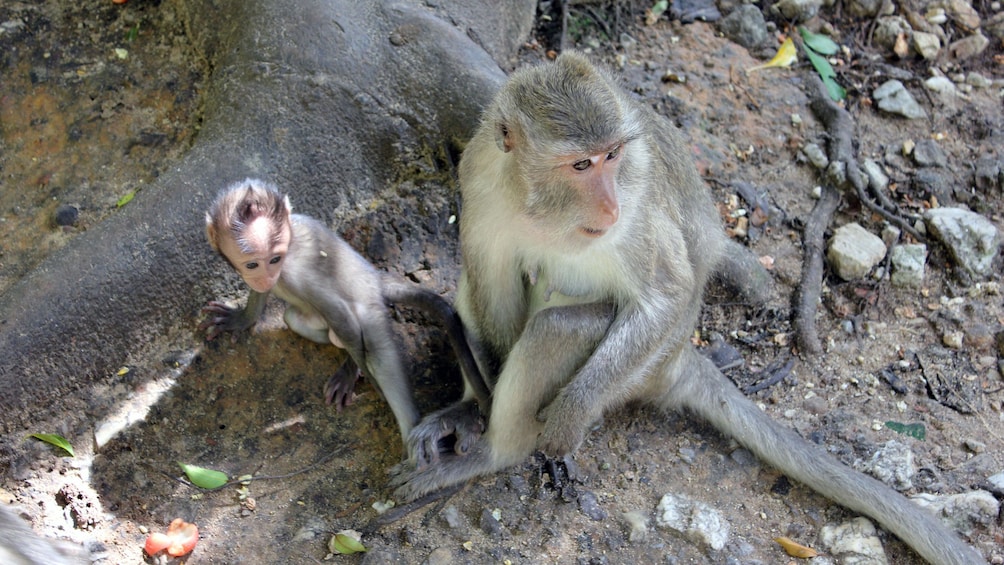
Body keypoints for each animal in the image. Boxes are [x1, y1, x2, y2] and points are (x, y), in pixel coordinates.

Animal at [200, 178, 489, 461]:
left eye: (275, 259)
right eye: (252, 264)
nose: (267, 276)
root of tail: (375, 277)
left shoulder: (298, 273)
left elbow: (342, 316)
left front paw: (362, 378)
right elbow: (261, 296)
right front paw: (240, 319)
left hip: (369, 307)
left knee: (377, 354)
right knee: (295, 319)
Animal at [395, 54, 983, 565]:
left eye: (612, 157)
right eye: (581, 164)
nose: (609, 204)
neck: (539, 208)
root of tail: (679, 360)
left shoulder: (635, 211)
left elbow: (668, 295)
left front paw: (569, 413)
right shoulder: (481, 179)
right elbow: (490, 282)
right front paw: (471, 404)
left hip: (643, 369)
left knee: (556, 328)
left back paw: (496, 451)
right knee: (478, 288)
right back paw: (466, 415)